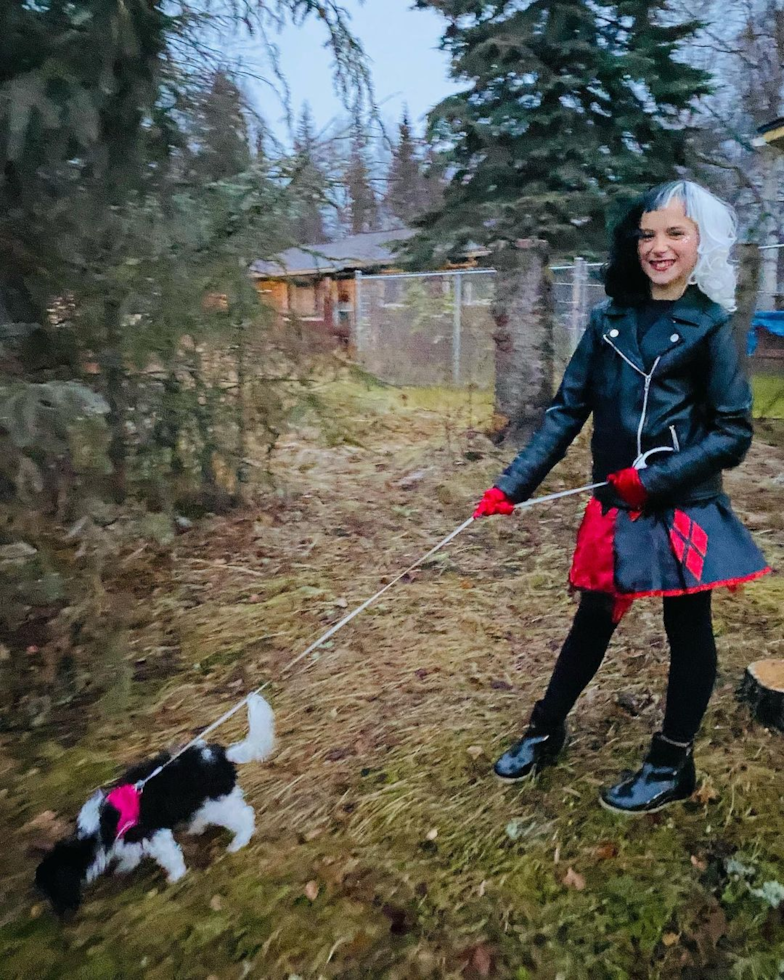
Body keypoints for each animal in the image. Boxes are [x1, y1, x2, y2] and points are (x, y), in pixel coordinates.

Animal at [36, 692, 276, 916]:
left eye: (53, 890)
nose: (59, 915)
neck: (97, 830)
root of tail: (220, 755)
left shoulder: (151, 833)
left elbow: (169, 855)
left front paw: (177, 875)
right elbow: (130, 852)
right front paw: (126, 865)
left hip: (217, 802)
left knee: (244, 815)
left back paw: (240, 840)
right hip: (204, 802)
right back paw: (197, 828)